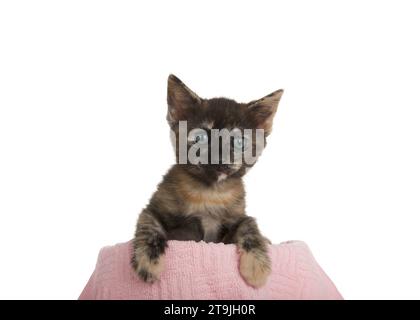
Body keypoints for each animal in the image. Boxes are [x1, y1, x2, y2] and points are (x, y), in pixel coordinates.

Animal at [131, 75, 282, 288]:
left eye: (239, 142)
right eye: (200, 137)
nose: (220, 156)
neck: (210, 193)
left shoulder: (230, 227)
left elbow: (249, 224)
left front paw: (256, 268)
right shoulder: (153, 209)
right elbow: (149, 226)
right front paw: (149, 262)